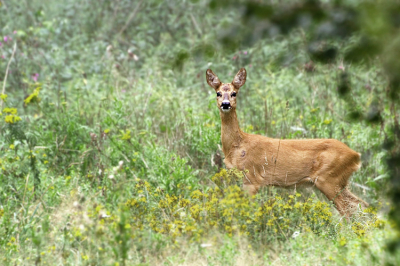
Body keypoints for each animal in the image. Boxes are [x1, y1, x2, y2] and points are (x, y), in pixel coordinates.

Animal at [206, 67, 368, 217]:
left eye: (234, 93)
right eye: (218, 93)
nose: (225, 104)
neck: (237, 145)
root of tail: (356, 156)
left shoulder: (251, 178)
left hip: (329, 179)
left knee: (349, 211)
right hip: (338, 182)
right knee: (362, 205)